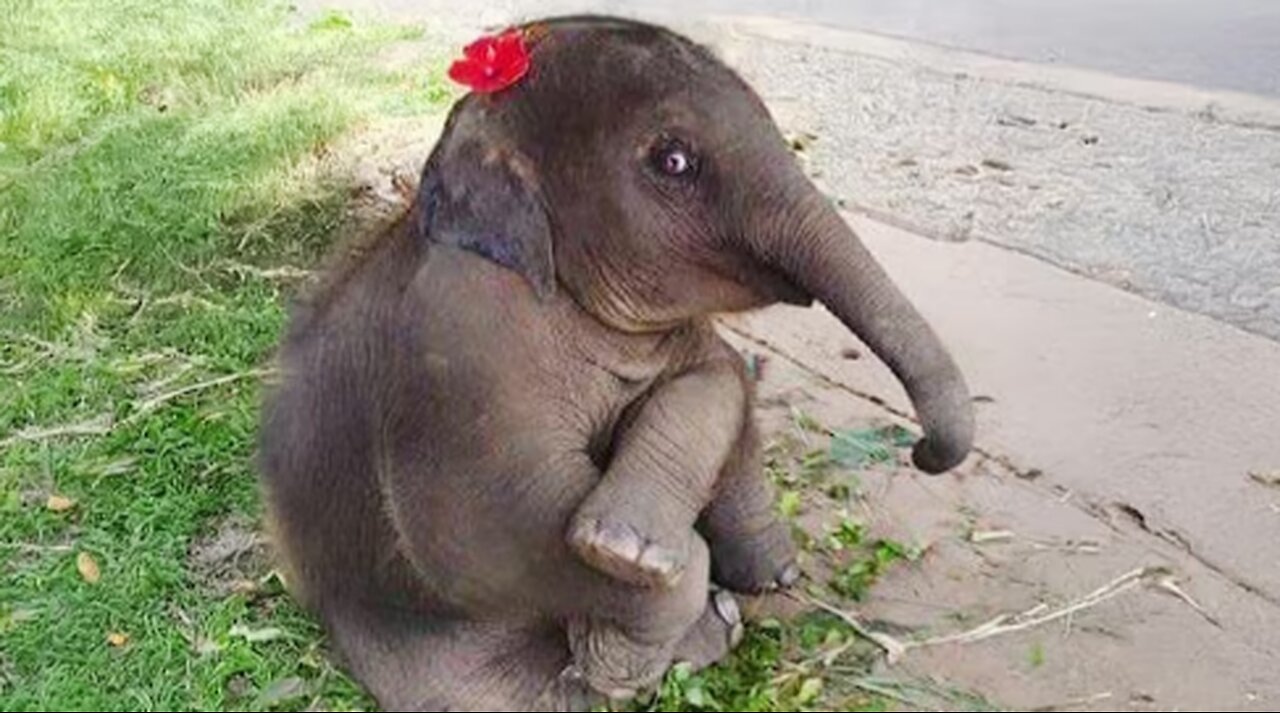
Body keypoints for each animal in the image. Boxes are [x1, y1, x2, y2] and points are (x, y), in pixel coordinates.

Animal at [257, 14, 974, 712]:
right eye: (674, 160)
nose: (923, 452)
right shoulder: (454, 350)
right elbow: (480, 533)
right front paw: (630, 570)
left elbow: (720, 376)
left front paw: (748, 572)